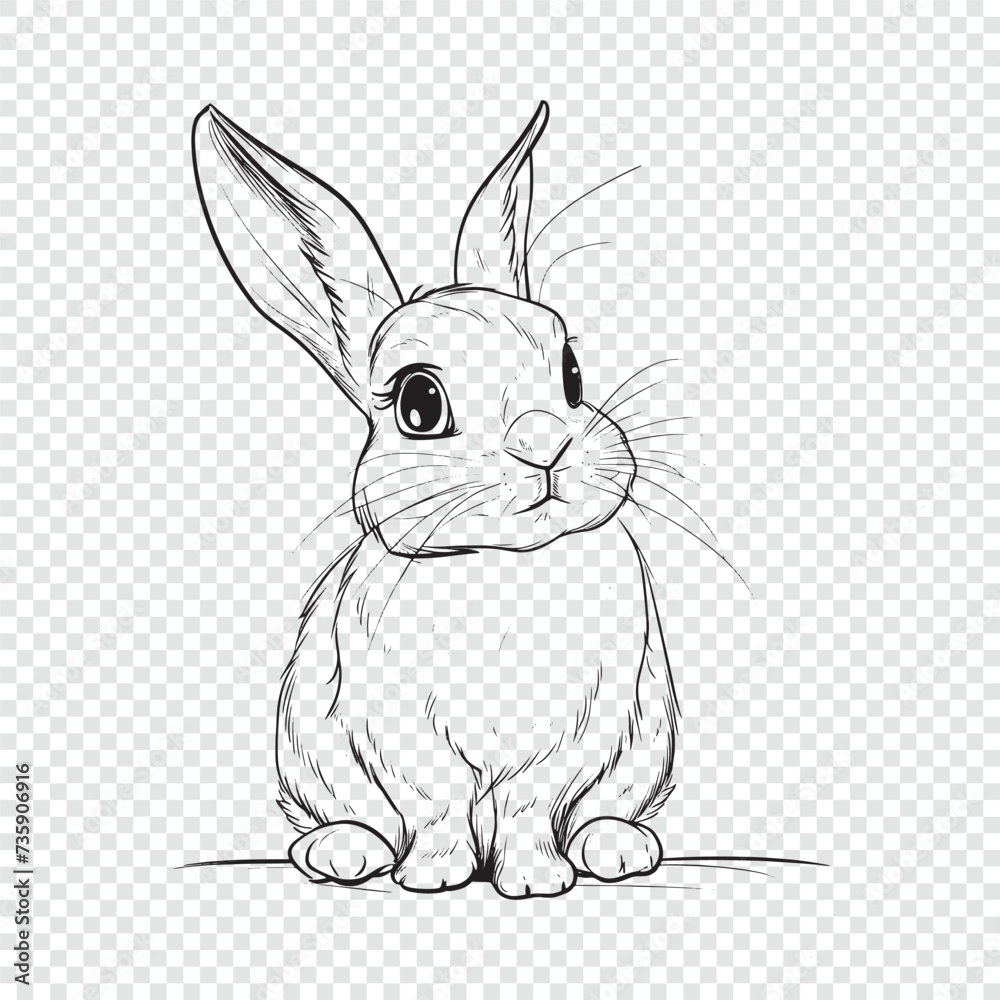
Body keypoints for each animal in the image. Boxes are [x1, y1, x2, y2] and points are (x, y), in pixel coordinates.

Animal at [192, 101, 681, 898]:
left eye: (573, 372)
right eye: (419, 403)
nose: (545, 442)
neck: (498, 560)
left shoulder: (570, 739)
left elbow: (528, 807)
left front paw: (534, 880)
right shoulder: (404, 743)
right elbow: (438, 806)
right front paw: (435, 876)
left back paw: (617, 847)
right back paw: (341, 853)